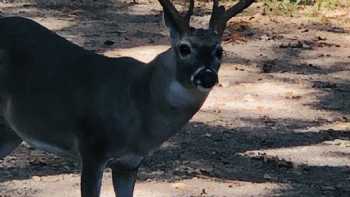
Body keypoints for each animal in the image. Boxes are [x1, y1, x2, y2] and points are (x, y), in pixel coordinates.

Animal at [0, 0, 253, 197]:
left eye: (219, 51)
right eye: (184, 48)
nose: (207, 75)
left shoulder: (129, 163)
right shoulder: (92, 147)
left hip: (11, 133)